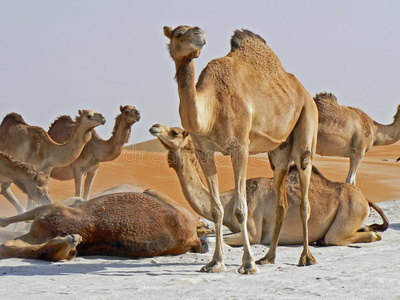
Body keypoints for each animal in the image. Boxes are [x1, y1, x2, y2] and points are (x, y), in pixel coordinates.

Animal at [149, 123, 388, 246]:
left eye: (174, 132)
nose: (154, 126)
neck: (229, 202)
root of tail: (364, 198)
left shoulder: (253, 232)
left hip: (351, 209)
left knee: (339, 237)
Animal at [163, 26, 318, 274]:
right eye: (178, 34)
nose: (199, 33)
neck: (212, 107)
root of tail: (302, 90)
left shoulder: (240, 147)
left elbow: (240, 209)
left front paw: (248, 263)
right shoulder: (203, 152)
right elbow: (216, 209)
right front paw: (215, 262)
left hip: (307, 120)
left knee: (304, 194)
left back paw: (306, 257)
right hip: (279, 152)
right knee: (281, 200)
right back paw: (269, 257)